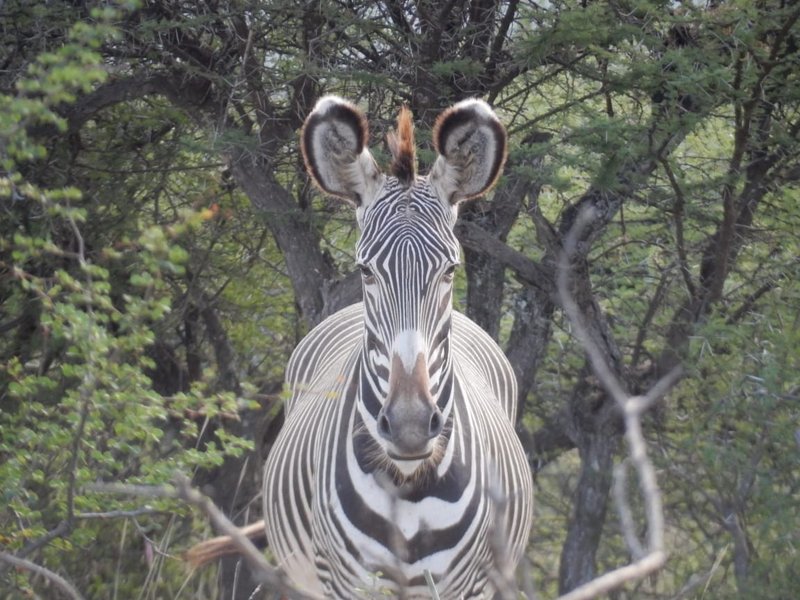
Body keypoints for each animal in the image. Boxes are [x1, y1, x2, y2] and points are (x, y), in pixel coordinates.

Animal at [259, 96, 534, 599]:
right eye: (365, 270)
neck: (408, 485)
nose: (409, 427)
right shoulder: (345, 582)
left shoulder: (464, 585)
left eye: (450, 270)